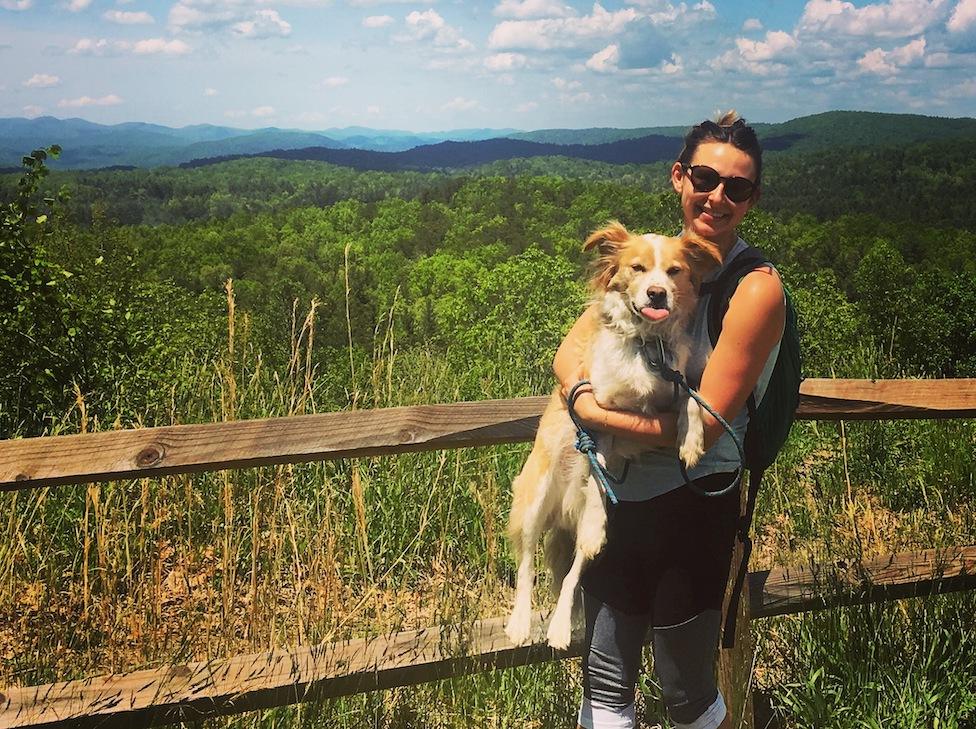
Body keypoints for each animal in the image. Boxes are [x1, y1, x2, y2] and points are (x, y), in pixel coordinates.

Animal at [504, 220, 724, 648]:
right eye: (637, 268)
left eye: (674, 271)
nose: (657, 293)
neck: (646, 344)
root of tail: (562, 514)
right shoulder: (598, 411)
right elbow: (597, 471)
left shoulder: (672, 388)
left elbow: (692, 399)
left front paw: (691, 442)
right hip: (535, 497)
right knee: (526, 563)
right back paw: (521, 621)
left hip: (585, 546)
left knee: (574, 571)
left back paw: (561, 625)